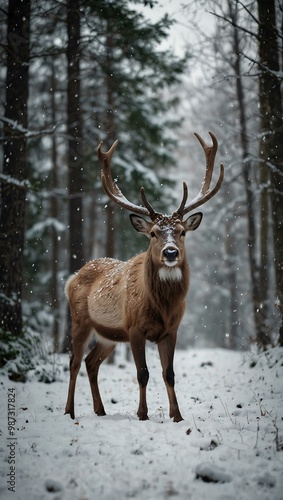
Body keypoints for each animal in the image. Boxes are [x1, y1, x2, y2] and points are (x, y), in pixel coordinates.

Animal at [64, 132, 224, 422]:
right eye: (152, 233)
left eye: (182, 231)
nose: (170, 252)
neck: (162, 306)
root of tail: (72, 278)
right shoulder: (135, 328)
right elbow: (143, 373)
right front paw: (142, 414)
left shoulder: (171, 330)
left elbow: (169, 374)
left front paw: (177, 416)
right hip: (80, 320)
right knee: (74, 361)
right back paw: (69, 411)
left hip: (109, 335)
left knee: (91, 362)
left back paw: (101, 410)